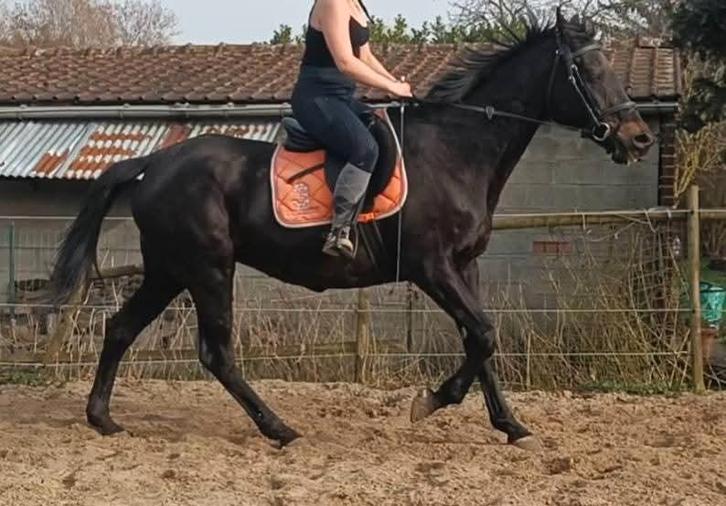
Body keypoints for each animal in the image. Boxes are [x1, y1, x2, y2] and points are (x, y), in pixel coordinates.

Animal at [51, 14, 655, 450]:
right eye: (588, 72)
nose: (639, 138)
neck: (458, 152)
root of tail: (154, 163)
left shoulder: (466, 265)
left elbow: (480, 339)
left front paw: (511, 426)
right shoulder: (432, 267)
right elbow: (483, 334)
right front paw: (430, 402)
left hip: (169, 270)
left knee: (120, 328)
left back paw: (102, 419)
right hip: (207, 269)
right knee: (215, 353)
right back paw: (280, 429)